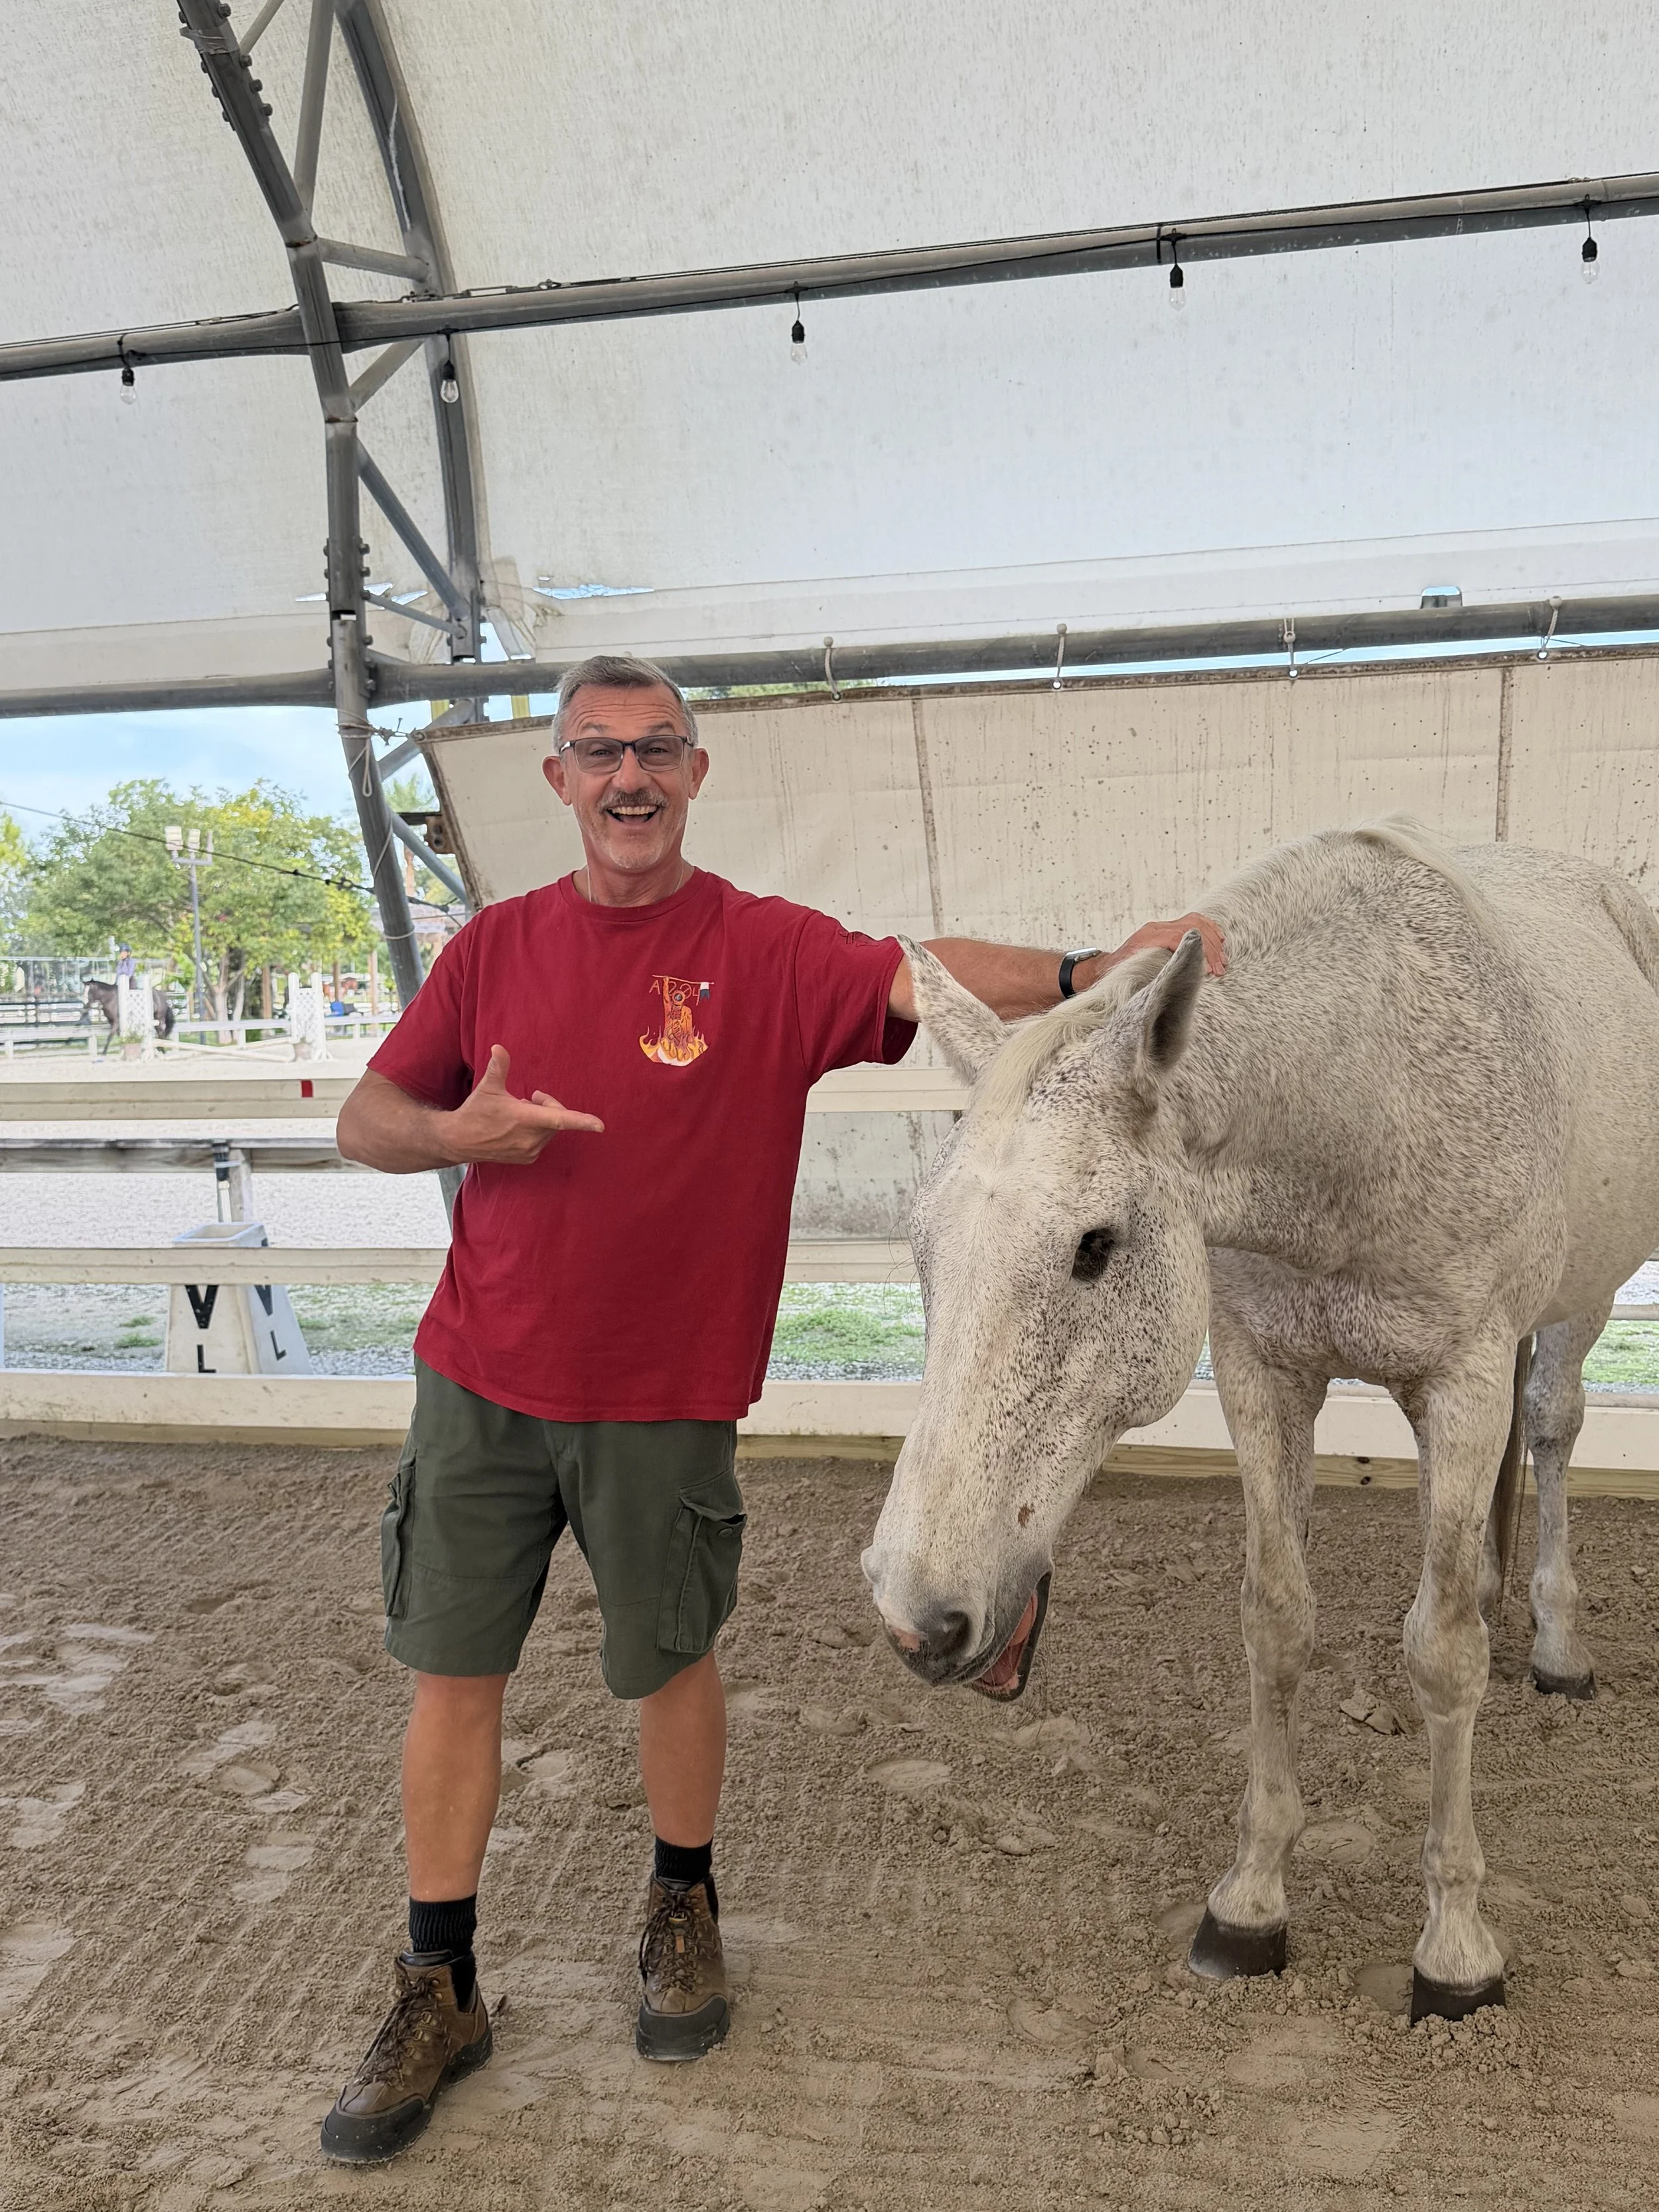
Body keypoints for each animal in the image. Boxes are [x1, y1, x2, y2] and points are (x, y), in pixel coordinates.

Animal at [83, 979, 176, 1040]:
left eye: (90, 991)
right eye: (84, 990)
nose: (84, 1002)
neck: (110, 998)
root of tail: (163, 996)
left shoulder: (117, 1021)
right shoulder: (112, 1022)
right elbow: (117, 1034)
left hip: (159, 1018)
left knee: (161, 1033)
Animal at [862, 823, 1659, 2023]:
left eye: (1096, 1243)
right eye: (922, 1240)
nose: (918, 1614)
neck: (1363, 1100)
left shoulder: (1463, 1383)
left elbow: (1444, 1655)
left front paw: (1455, 1946)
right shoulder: (1262, 1375)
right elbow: (1277, 1621)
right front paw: (1251, 1900)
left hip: (1584, 1301)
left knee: (1554, 1428)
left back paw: (1558, 1641)